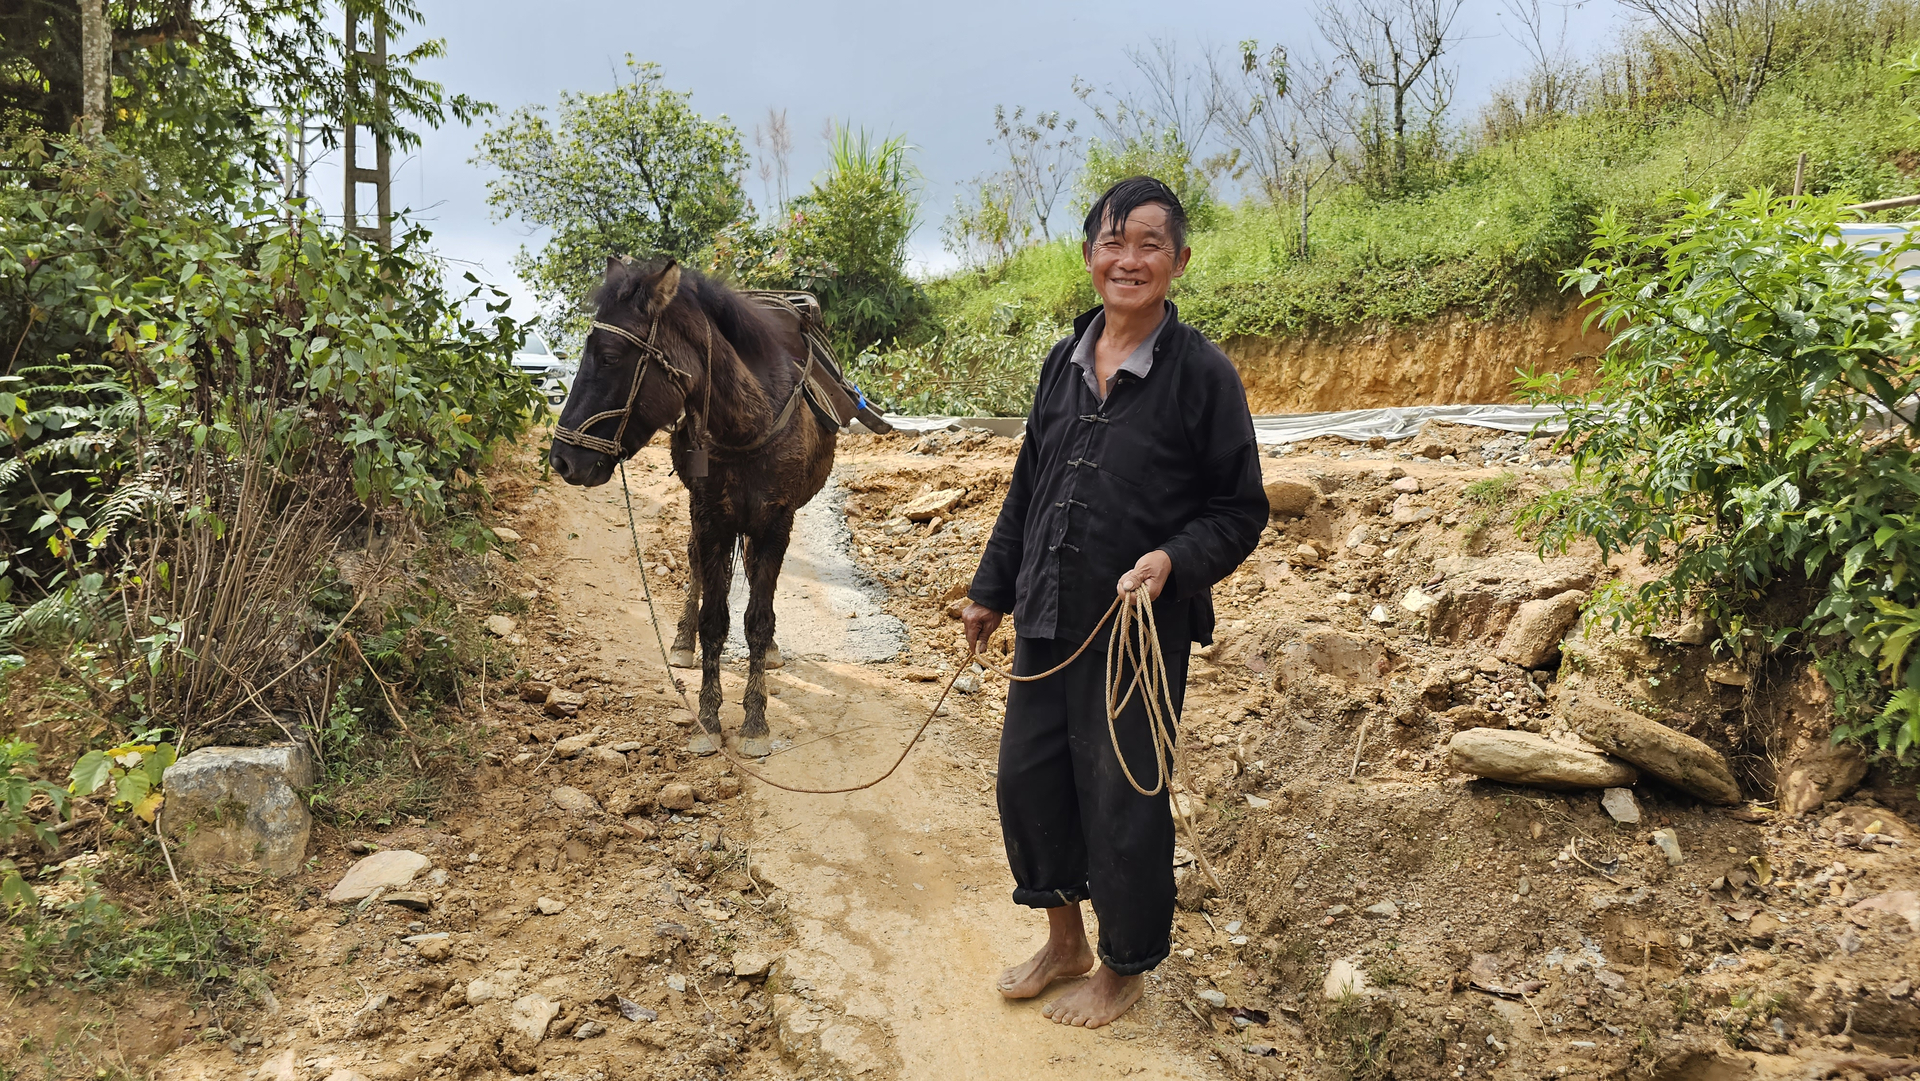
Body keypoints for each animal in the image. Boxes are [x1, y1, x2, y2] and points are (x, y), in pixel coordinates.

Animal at [549, 257, 833, 756]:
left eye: (609, 357)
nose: (562, 460)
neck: (747, 427)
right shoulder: (710, 518)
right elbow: (713, 621)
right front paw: (709, 717)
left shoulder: (777, 523)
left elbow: (758, 619)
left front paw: (755, 721)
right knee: (696, 565)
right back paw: (682, 642)